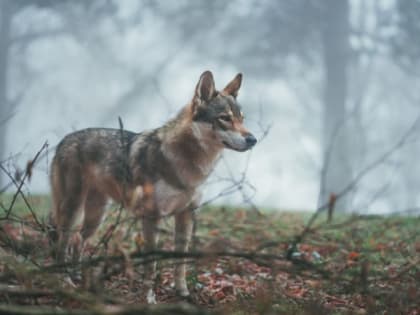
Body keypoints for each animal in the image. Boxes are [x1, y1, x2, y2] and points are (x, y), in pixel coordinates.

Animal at [50, 71, 258, 304]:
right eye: (225, 118)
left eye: (241, 118)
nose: (253, 139)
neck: (187, 163)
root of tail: (64, 140)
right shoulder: (152, 217)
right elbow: (151, 264)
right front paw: (149, 298)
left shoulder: (186, 215)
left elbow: (180, 262)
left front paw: (183, 293)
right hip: (73, 210)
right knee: (62, 244)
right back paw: (64, 282)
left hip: (96, 217)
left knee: (77, 240)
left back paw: (77, 276)